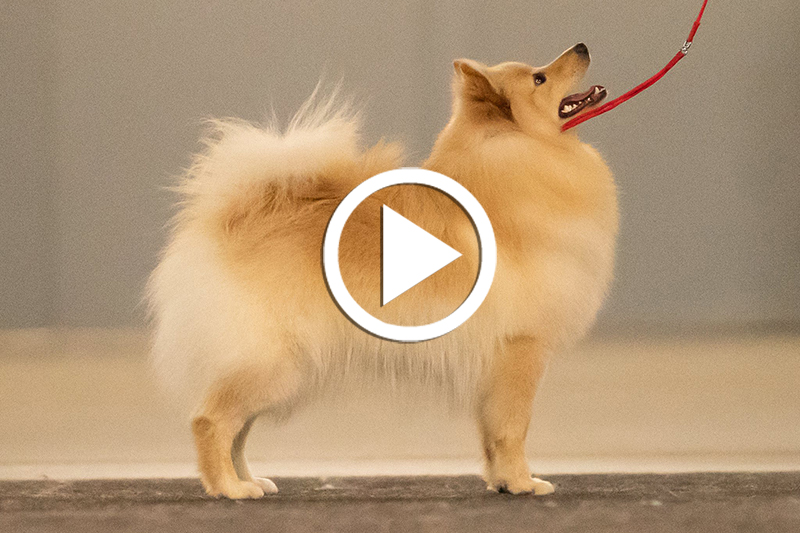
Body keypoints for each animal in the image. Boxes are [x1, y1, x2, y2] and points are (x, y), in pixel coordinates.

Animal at [147, 43, 618, 499]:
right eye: (539, 78)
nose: (581, 45)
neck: (521, 161)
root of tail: (231, 218)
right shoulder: (520, 350)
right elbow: (512, 430)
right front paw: (523, 483)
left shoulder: (493, 368)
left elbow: (490, 437)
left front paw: (502, 482)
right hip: (273, 366)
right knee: (210, 421)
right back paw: (228, 489)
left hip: (274, 372)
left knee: (237, 431)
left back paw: (247, 481)